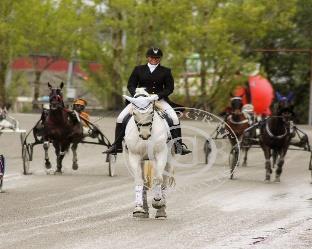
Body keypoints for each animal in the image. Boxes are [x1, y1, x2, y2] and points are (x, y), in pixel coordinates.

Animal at [123, 88, 174, 219]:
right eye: (134, 113)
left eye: (151, 112)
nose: (145, 135)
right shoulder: (134, 156)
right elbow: (139, 181)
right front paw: (138, 208)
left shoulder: (160, 154)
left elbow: (158, 179)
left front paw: (157, 201)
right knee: (145, 183)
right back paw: (145, 210)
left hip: (168, 158)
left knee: (164, 180)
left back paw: (161, 209)